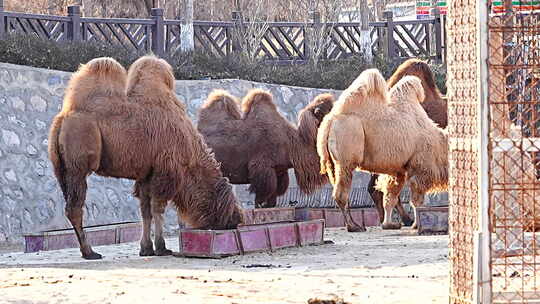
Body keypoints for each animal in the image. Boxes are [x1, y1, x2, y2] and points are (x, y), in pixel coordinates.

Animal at [48, 56, 243, 258]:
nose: (236, 220)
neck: (190, 154)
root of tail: (62, 118)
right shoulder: (165, 171)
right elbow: (158, 208)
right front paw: (162, 247)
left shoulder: (146, 174)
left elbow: (145, 211)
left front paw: (146, 248)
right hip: (78, 161)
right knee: (75, 207)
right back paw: (90, 252)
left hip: (61, 168)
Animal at [198, 89, 334, 208]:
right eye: (329, 112)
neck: (291, 143)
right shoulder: (263, 168)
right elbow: (263, 194)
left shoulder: (279, 171)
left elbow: (273, 196)